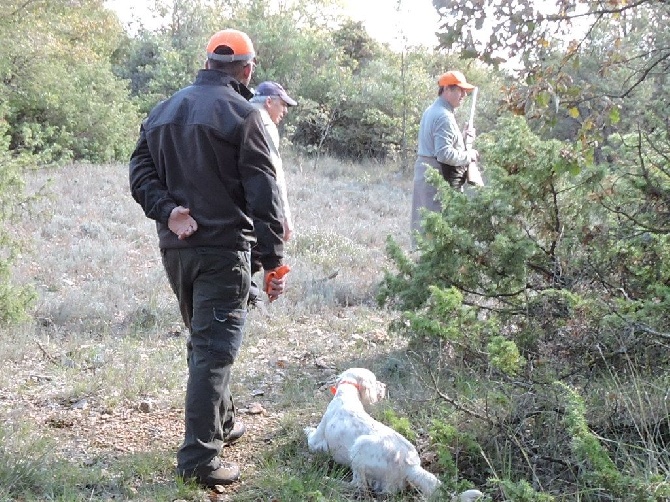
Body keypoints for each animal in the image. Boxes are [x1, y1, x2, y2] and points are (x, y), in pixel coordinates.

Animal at [304, 366, 484, 500]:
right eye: (375, 381)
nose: (384, 386)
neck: (347, 396)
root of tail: (411, 466)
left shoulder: (317, 442)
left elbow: (310, 437)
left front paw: (307, 429)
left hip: (360, 447)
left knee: (359, 486)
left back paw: (330, 480)